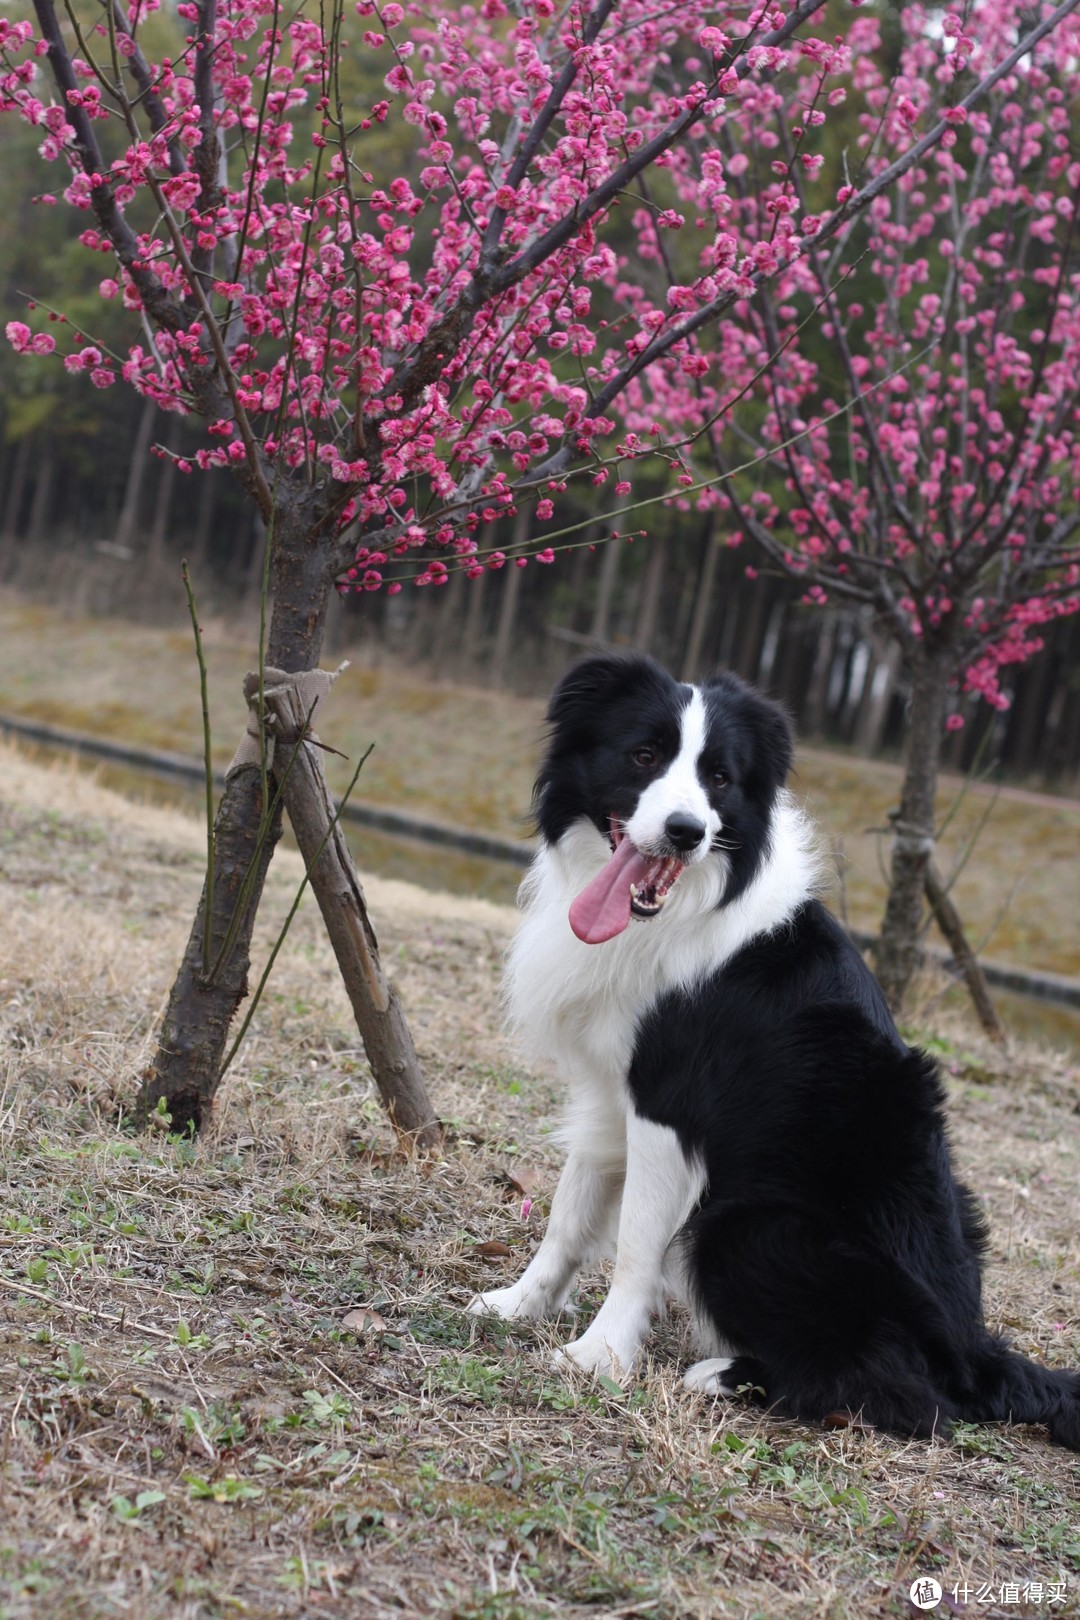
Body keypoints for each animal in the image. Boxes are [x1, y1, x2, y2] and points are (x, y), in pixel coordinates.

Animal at [472, 651, 1080, 1451]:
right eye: (644, 755)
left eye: (720, 778)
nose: (685, 831)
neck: (685, 906)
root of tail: (976, 1354)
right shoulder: (611, 1092)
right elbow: (568, 1216)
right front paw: (521, 1304)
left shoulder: (669, 1108)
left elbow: (634, 1244)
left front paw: (598, 1356)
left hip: (744, 1223)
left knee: (910, 1400)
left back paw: (725, 1375)